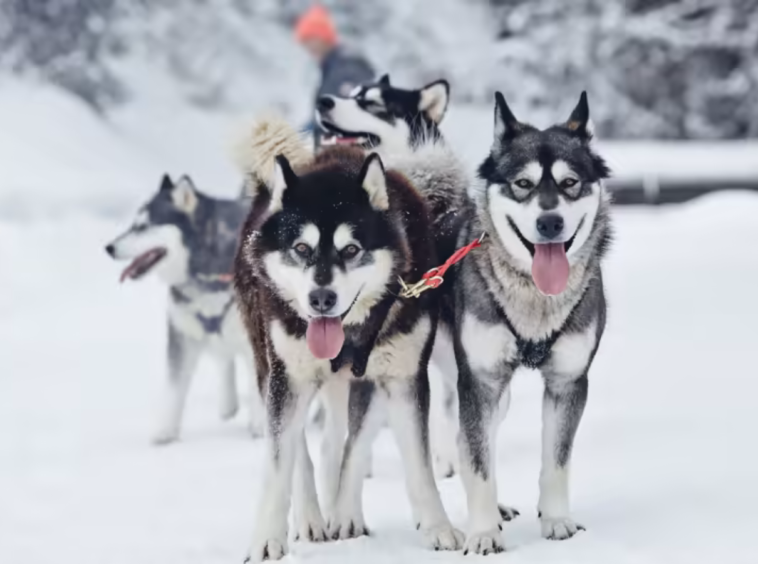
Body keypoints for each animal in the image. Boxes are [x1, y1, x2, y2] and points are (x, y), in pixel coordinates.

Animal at [104, 176, 264, 446]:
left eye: (143, 226)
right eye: (134, 224)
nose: (109, 248)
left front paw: (261, 428)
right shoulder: (181, 336)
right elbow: (174, 387)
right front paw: (165, 431)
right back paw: (228, 404)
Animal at [235, 117, 466, 560]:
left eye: (351, 249)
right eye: (301, 247)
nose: (321, 298)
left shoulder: (403, 378)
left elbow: (413, 462)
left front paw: (438, 527)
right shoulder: (287, 378)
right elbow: (279, 464)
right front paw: (266, 540)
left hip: (362, 382)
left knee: (342, 446)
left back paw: (343, 513)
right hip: (270, 368)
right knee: (301, 453)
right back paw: (310, 517)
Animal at [428, 92, 616, 556]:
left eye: (570, 183)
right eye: (523, 184)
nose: (550, 223)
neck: (535, 299)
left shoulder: (568, 381)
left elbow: (556, 460)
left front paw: (557, 521)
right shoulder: (480, 381)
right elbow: (479, 465)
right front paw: (481, 534)